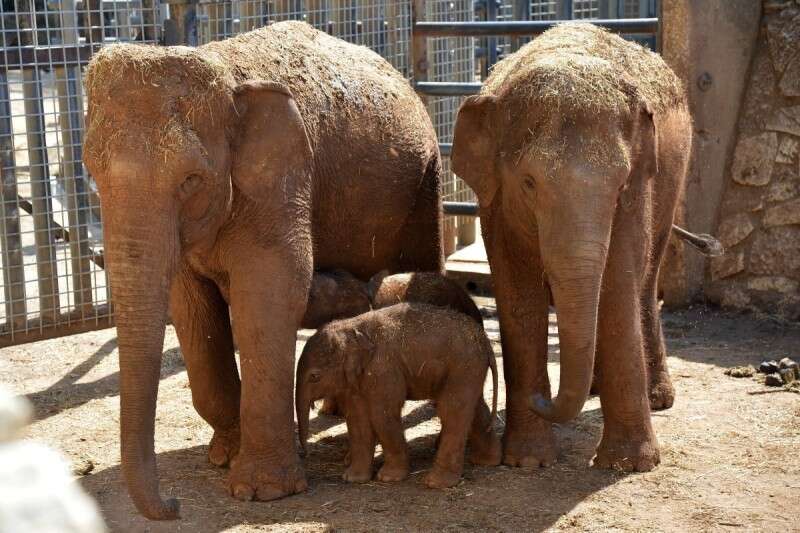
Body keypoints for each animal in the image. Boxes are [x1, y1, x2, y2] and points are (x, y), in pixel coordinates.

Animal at [82, 21, 443, 519]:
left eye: (191, 180)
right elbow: (190, 307)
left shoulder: (281, 179)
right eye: (91, 172)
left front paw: (263, 491)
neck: (223, 71)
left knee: (421, 265)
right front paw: (224, 455)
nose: (174, 504)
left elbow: (270, 294)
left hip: (425, 181)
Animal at [296, 303, 501, 488]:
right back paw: (487, 462)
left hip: (464, 365)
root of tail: (485, 341)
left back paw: (435, 483)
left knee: (451, 410)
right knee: (475, 408)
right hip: (470, 368)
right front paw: (352, 479)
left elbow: (382, 414)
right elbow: (357, 418)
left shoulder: (383, 368)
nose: (305, 454)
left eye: (314, 376)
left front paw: (388, 478)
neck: (351, 326)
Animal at [450, 23, 691, 472]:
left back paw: (657, 399)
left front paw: (630, 465)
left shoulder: (636, 191)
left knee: (647, 279)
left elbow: (617, 287)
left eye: (619, 184)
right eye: (529, 183)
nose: (540, 398)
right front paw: (527, 462)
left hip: (675, 178)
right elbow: (517, 295)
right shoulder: (495, 201)